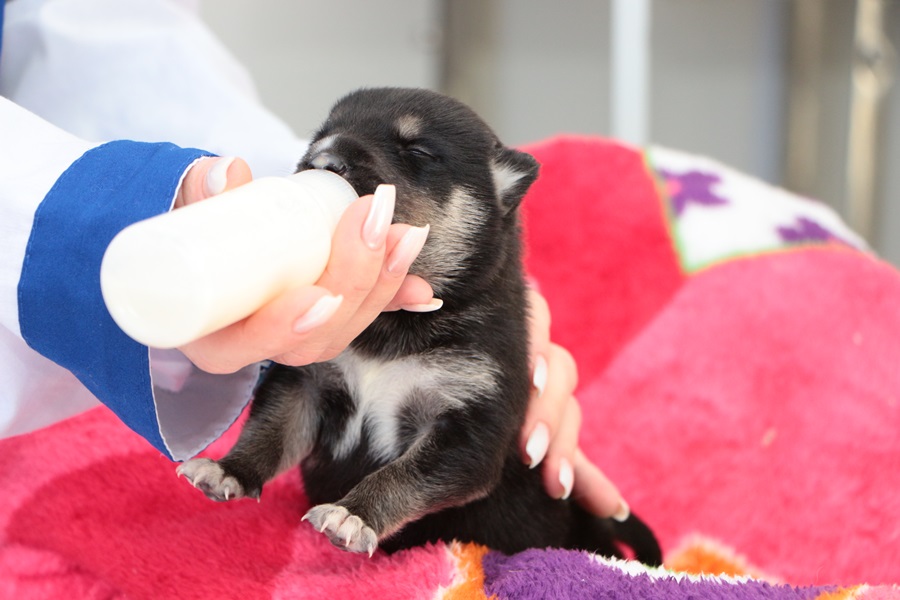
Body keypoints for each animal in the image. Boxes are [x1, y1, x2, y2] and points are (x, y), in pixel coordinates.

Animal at [181, 88, 660, 564]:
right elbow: (271, 432)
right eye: (320, 134)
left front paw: (352, 516)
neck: (392, 322)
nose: (323, 158)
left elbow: (405, 475)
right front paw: (228, 470)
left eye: (417, 151)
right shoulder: (304, 383)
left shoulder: (470, 424)